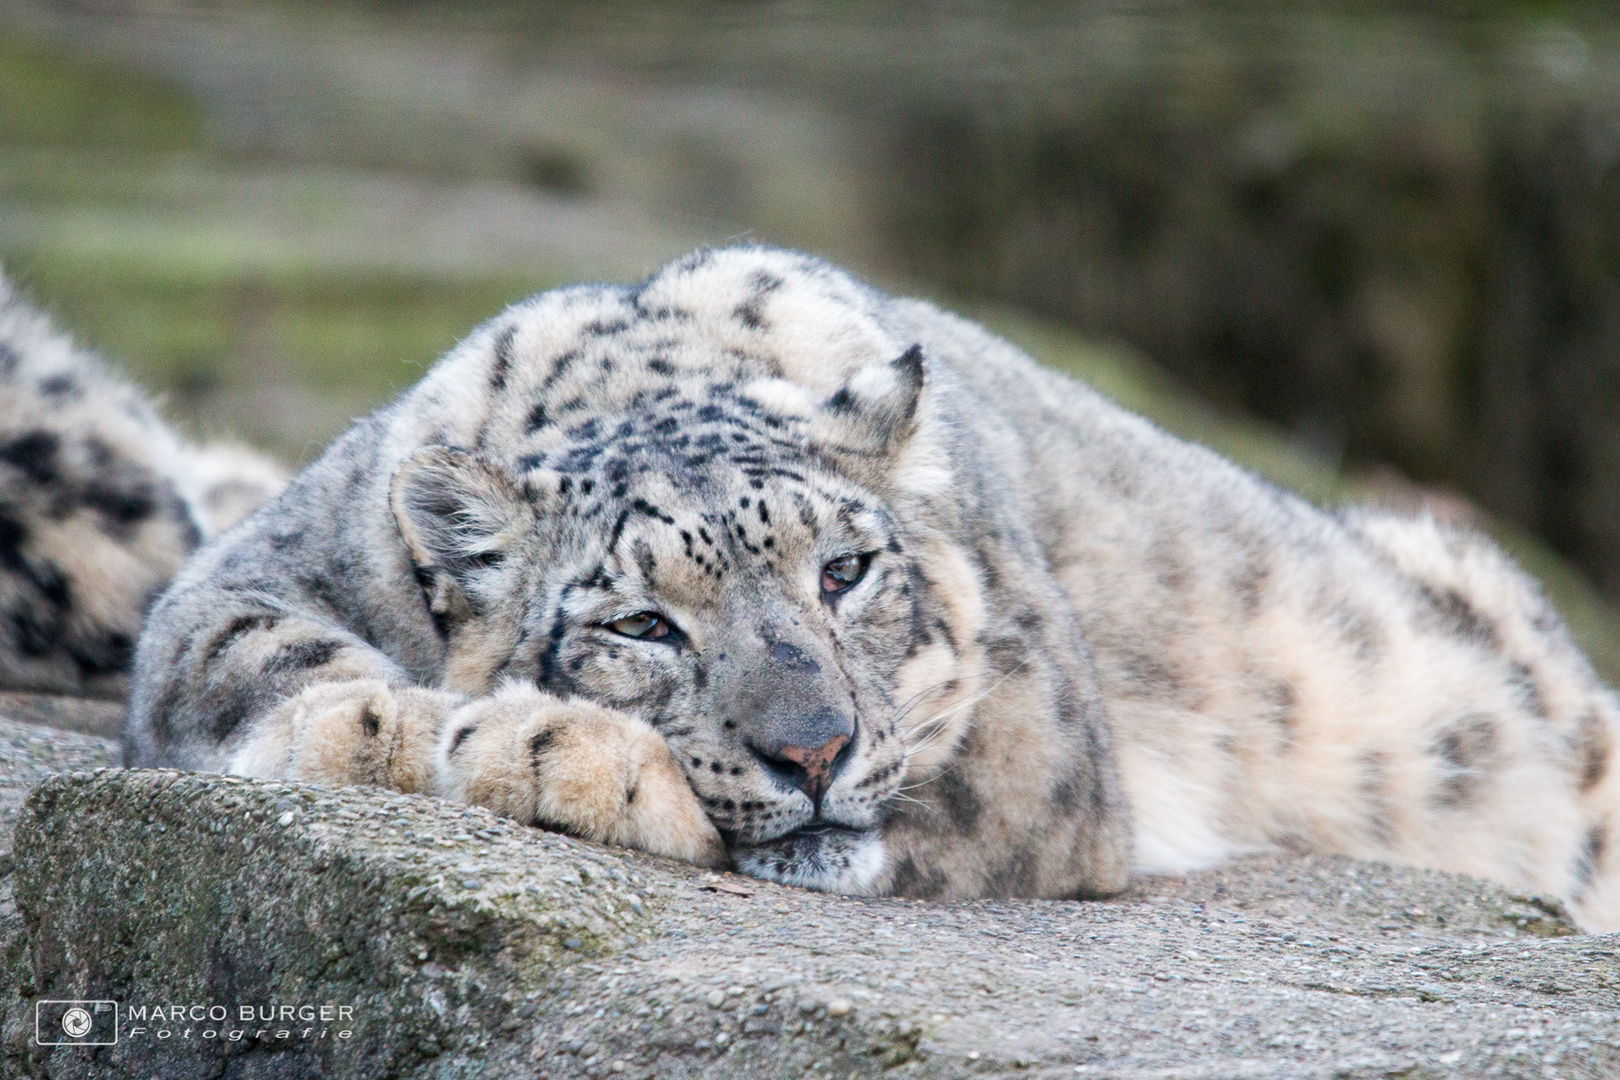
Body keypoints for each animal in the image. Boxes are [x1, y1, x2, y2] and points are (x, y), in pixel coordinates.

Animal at [119, 244, 1620, 932]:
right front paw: (372, 721)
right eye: (642, 623)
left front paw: (547, 752)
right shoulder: (256, 566)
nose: (815, 751)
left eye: (845, 569)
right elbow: (239, 646)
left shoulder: (1039, 738)